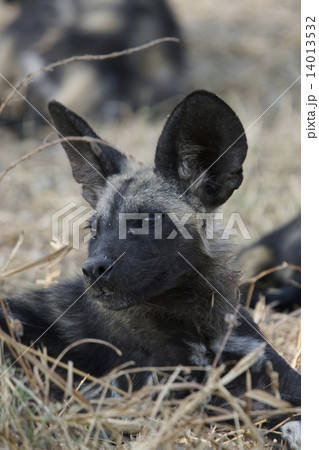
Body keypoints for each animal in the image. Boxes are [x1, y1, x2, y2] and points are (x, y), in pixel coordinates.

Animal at [0, 90, 300, 446]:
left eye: (145, 223)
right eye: (93, 230)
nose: (93, 269)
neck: (199, 322)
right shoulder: (183, 396)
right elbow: (268, 414)